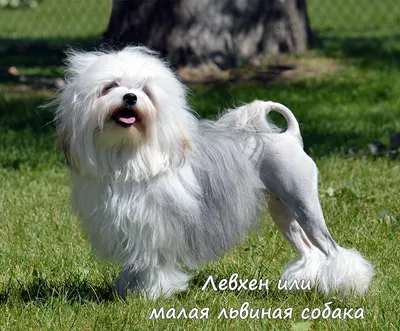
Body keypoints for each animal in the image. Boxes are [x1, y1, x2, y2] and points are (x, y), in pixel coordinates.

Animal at [55, 47, 376, 300]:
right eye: (110, 86)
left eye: (146, 89)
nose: (131, 97)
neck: (131, 152)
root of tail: (290, 136)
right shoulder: (131, 226)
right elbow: (136, 262)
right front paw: (129, 289)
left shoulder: (158, 226)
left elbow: (155, 264)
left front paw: (154, 294)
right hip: (283, 211)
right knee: (308, 250)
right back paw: (303, 283)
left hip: (305, 205)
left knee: (330, 248)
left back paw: (349, 285)